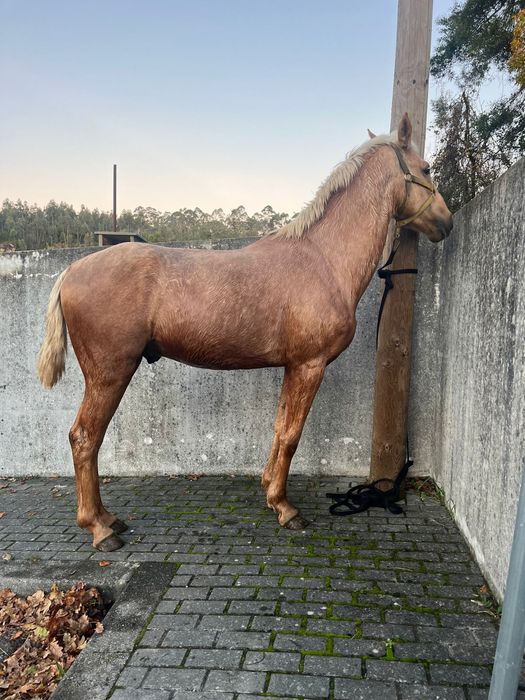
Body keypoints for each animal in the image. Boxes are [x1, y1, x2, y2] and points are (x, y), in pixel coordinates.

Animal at [37, 114, 453, 551]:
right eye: (426, 169)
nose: (447, 222)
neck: (323, 259)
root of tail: (72, 270)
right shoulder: (310, 365)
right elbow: (292, 435)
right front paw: (285, 508)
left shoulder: (293, 367)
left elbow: (280, 427)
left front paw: (270, 489)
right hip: (109, 373)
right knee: (85, 438)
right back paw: (99, 528)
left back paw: (108, 520)